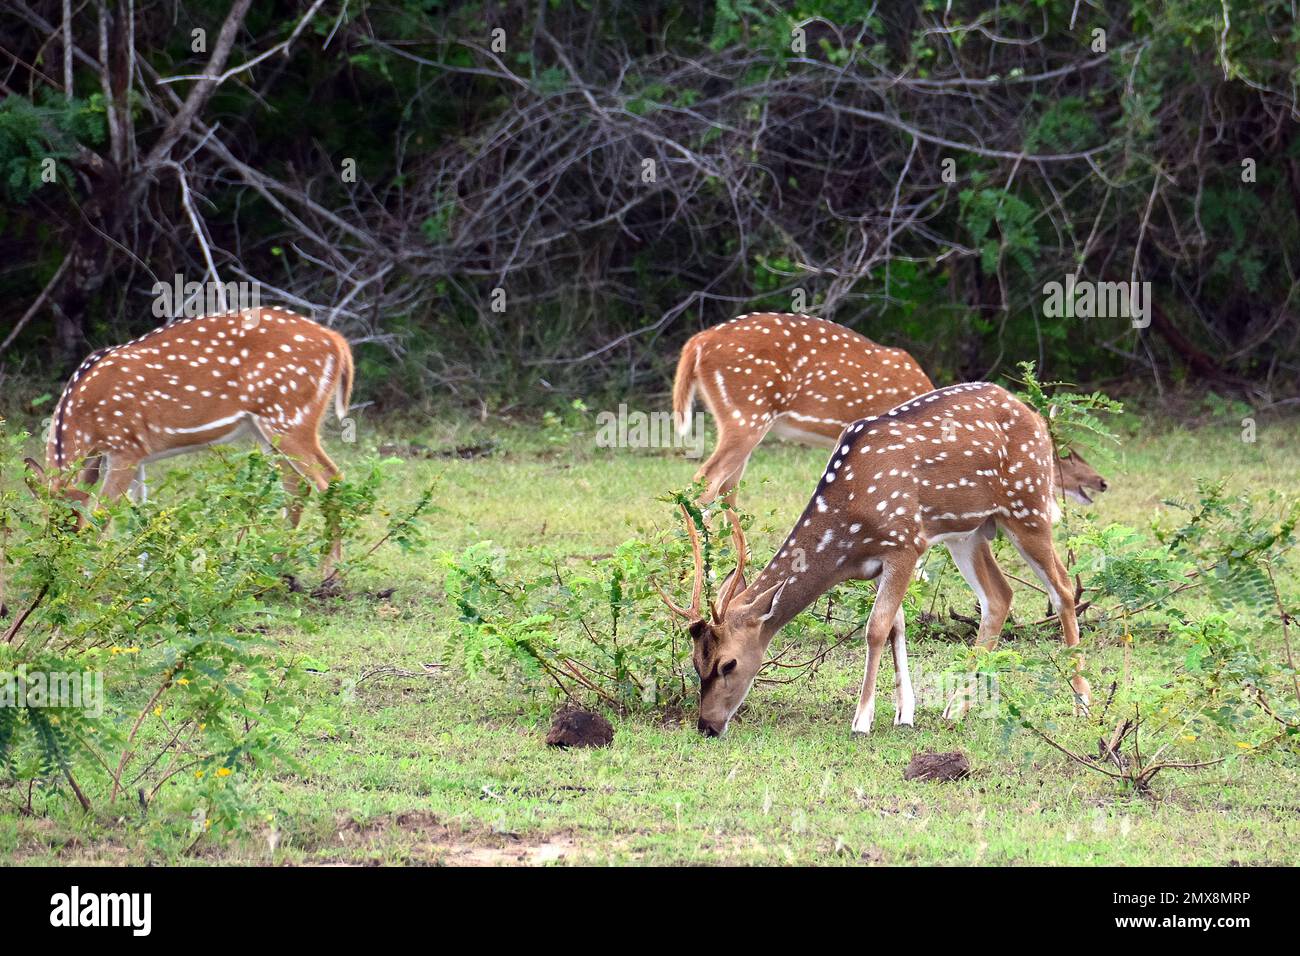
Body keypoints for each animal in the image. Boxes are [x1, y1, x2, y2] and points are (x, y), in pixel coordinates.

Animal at [34, 306, 353, 577]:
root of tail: (336, 342)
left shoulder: (124, 446)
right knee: (297, 486)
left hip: (290, 415)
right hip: (268, 429)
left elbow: (102, 514)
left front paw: (89, 575)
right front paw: (141, 572)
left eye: (66, 529)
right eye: (47, 523)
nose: (55, 568)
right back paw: (278, 566)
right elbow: (141, 513)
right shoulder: (137, 453)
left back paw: (330, 573)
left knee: (330, 479)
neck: (85, 422)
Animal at [659, 381, 1109, 738]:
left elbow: (875, 628)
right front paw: (905, 713)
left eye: (728, 664)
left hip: (1027, 506)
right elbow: (896, 625)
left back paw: (1083, 702)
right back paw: (956, 708)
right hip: (969, 532)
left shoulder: (905, 542)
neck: (848, 531)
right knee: (999, 596)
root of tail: (1036, 419)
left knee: (1062, 586)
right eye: (696, 663)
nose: (707, 726)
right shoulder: (880, 561)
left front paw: (862, 720)